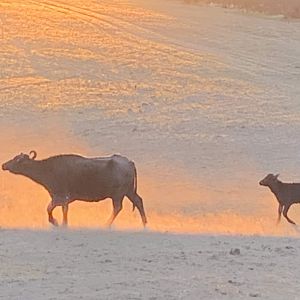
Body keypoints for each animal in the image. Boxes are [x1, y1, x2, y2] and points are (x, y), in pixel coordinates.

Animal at [1, 152, 147, 227]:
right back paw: (144, 224)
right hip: (129, 192)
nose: (3, 165)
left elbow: (51, 209)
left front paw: (58, 223)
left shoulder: (60, 196)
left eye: (16, 159)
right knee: (138, 201)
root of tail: (128, 162)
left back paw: (106, 224)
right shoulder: (60, 198)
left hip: (118, 195)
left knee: (117, 207)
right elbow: (57, 209)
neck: (49, 169)